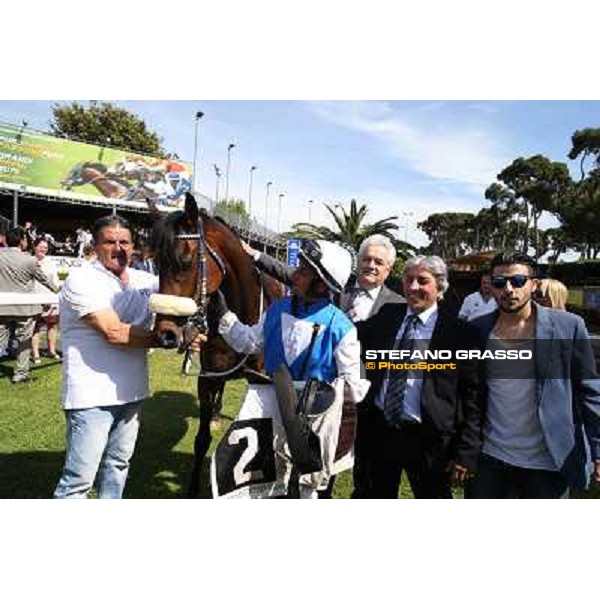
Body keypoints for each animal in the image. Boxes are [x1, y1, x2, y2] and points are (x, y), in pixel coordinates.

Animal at [149, 192, 282, 496]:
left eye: (185, 261)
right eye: (156, 262)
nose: (165, 334)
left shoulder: (262, 379)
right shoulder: (208, 378)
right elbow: (201, 439)